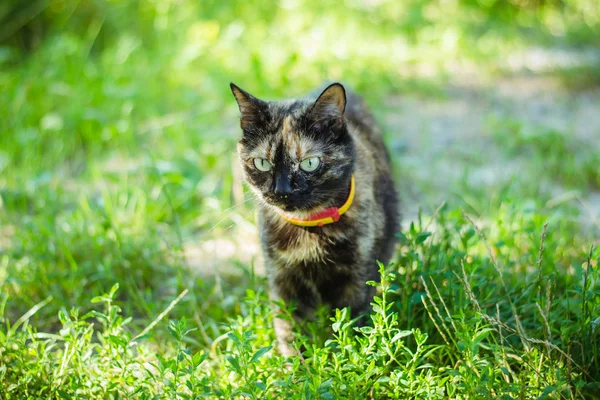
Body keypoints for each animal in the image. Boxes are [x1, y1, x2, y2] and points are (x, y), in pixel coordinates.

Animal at [230, 82, 398, 356]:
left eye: (309, 163)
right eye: (262, 163)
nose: (282, 190)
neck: (309, 230)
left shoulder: (356, 279)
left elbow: (349, 325)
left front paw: (348, 358)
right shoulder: (283, 281)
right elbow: (290, 331)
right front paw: (297, 365)